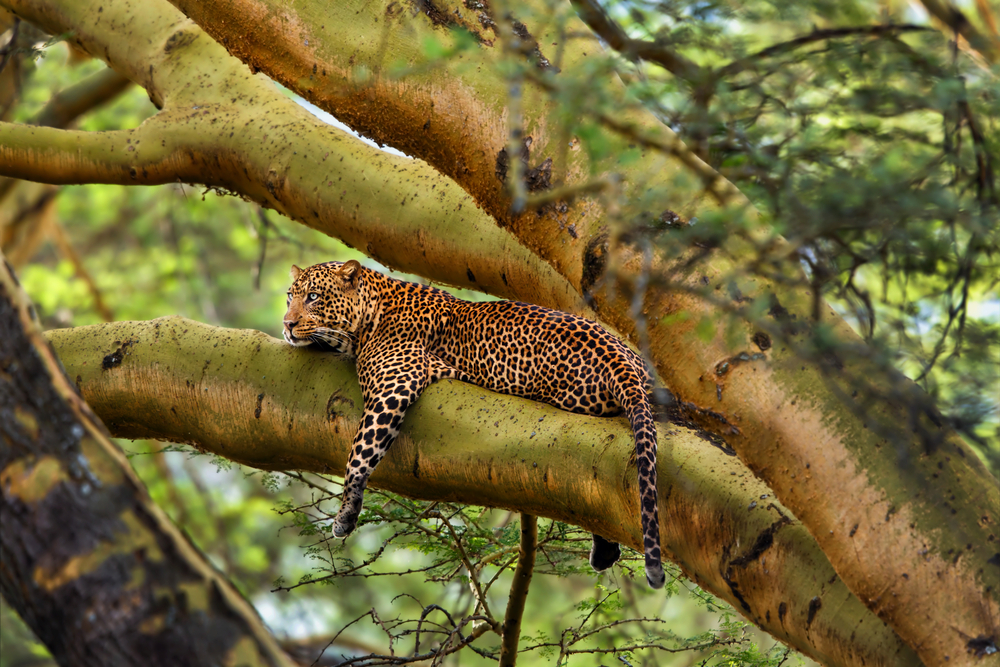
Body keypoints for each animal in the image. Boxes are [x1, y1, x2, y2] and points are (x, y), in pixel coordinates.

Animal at [283, 259, 666, 588]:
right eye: (290, 296)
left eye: (313, 297)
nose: (286, 324)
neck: (371, 314)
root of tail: (620, 358)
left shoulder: (394, 385)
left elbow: (359, 453)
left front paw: (345, 514)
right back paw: (605, 550)